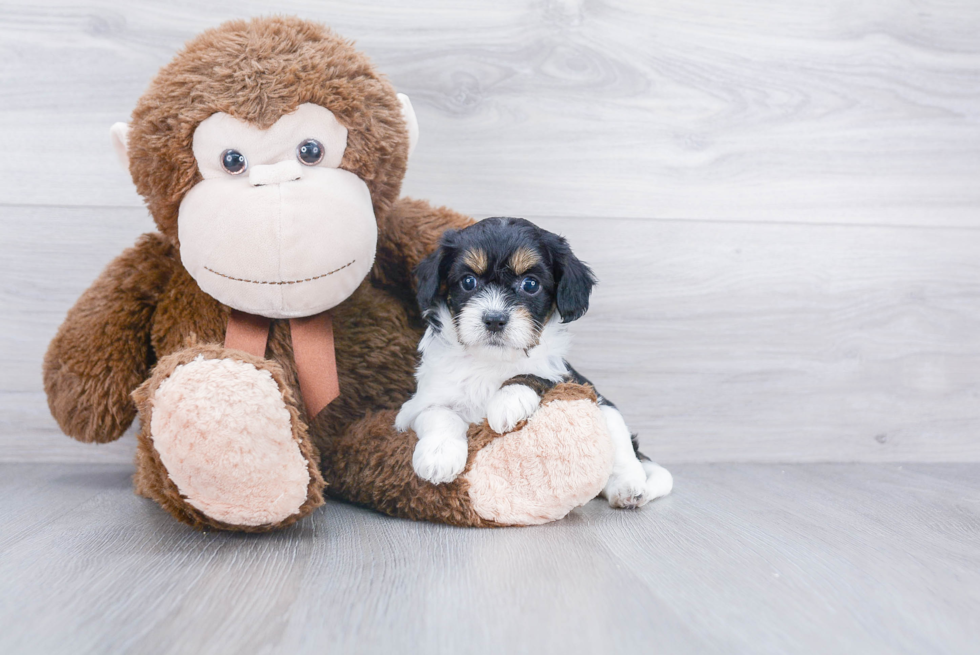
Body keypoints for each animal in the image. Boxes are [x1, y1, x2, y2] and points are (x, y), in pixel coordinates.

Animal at [394, 218, 668, 510]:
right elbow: (440, 414)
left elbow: (537, 374)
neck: (492, 361)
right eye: (468, 281)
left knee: (624, 450)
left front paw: (508, 401)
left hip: (606, 409)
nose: (494, 319)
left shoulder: (568, 378)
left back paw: (629, 488)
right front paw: (439, 456)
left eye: (530, 284)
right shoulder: (413, 408)